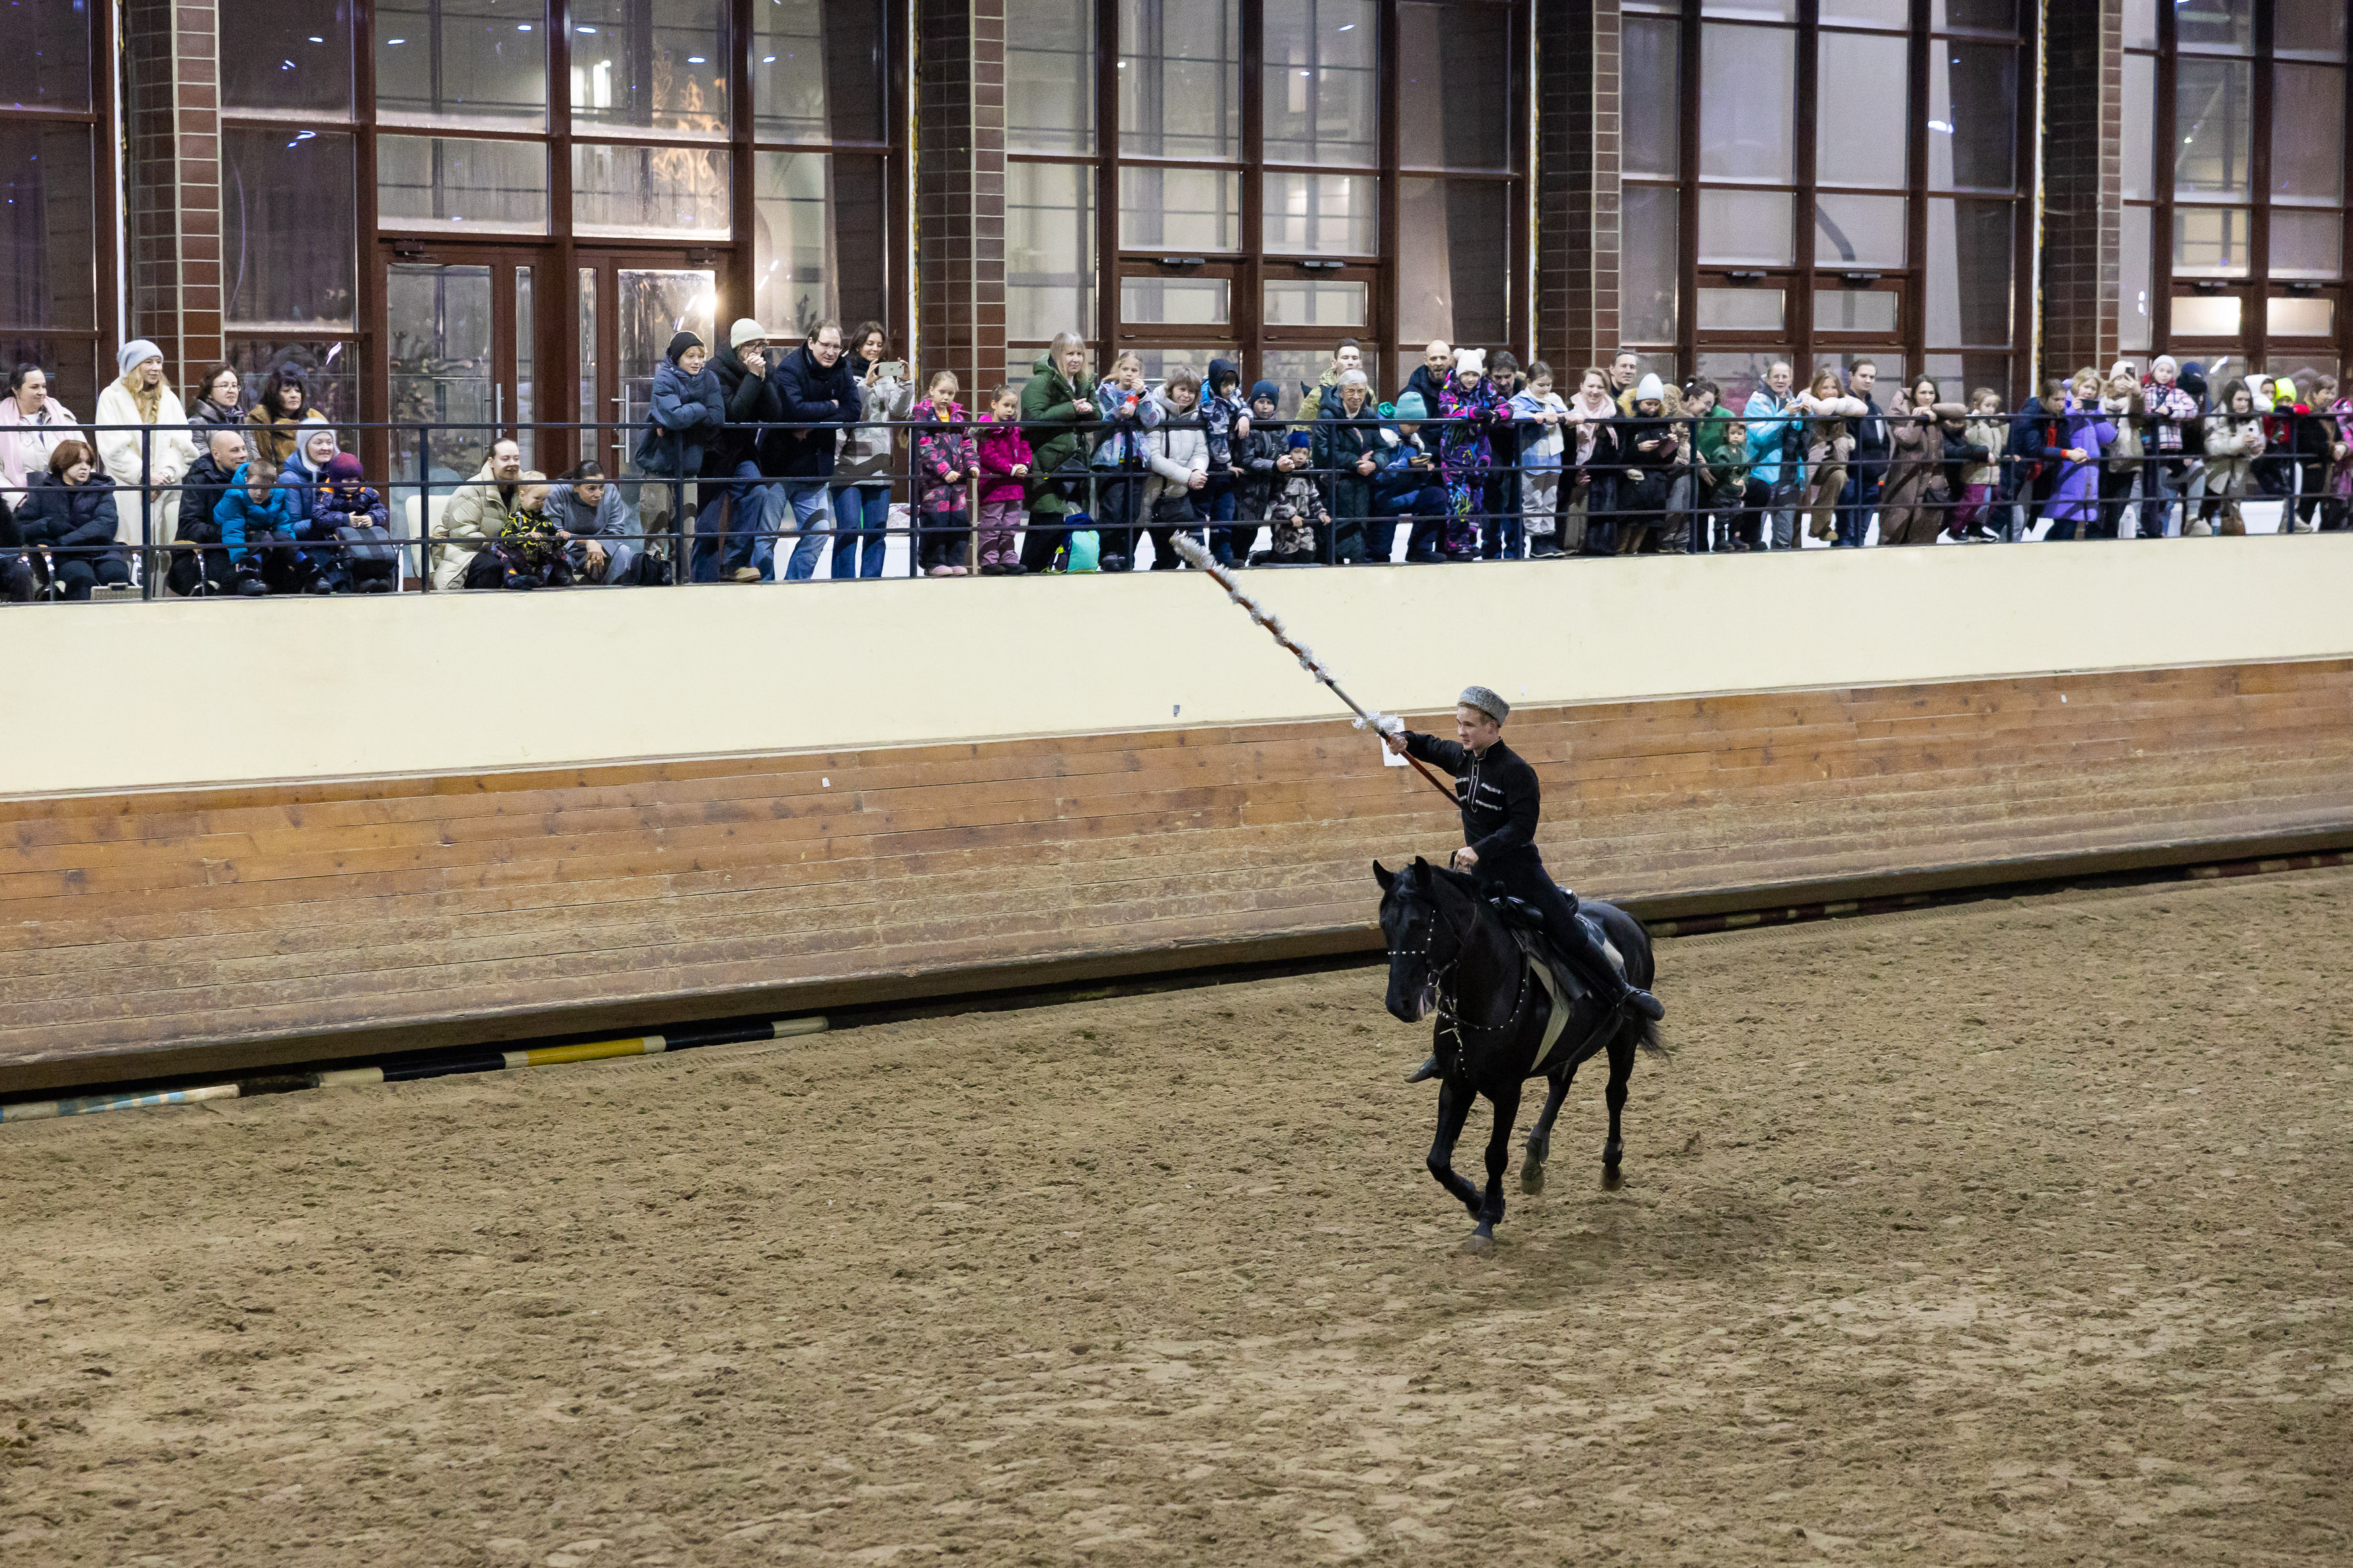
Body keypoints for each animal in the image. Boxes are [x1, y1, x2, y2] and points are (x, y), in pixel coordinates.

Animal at [1374, 857, 1667, 1252]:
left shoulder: (1507, 1089)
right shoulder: (1456, 1080)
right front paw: (1476, 1200)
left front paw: (1487, 1219)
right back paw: (1534, 1160)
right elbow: (1437, 1160)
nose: (1400, 1004)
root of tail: (1624, 916)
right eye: (1384, 924)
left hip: (1625, 1037)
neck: (1490, 988)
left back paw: (1610, 1167)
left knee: (1615, 1095)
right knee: (1561, 1086)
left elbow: (1495, 1155)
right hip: (1568, 1048)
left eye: (1419, 924)